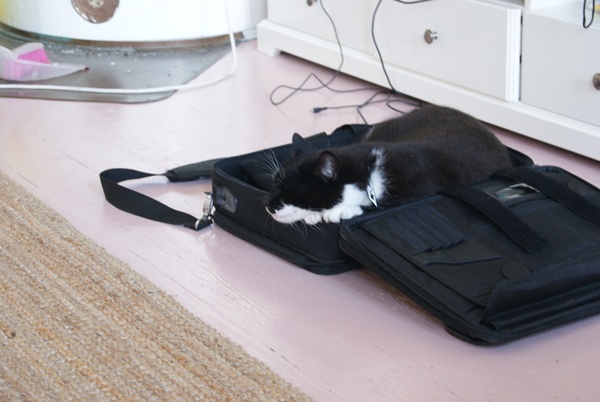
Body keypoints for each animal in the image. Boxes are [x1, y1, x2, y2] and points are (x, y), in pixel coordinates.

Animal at [265, 105, 513, 225]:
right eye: (273, 184)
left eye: (288, 190)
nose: (267, 205)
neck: (368, 174)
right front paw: (314, 214)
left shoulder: (419, 186)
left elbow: (375, 205)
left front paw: (341, 210)